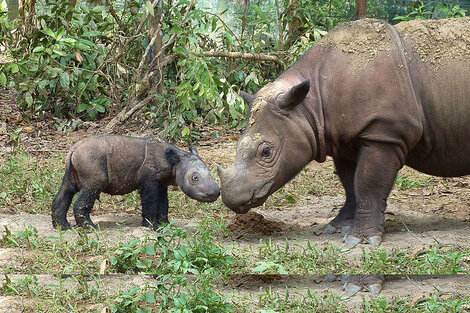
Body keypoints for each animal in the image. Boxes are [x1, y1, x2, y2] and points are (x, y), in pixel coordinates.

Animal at [52, 135, 219, 229]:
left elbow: (163, 203)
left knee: (66, 190)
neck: (175, 162)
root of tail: (74, 148)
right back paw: (90, 228)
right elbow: (151, 202)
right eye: (195, 178)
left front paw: (165, 224)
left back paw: (62, 227)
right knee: (91, 189)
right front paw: (153, 227)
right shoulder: (149, 181)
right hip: (90, 160)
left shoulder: (161, 183)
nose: (215, 192)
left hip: (76, 163)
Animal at [218, 17, 470, 246]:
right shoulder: (343, 138)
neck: (309, 105)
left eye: (266, 152)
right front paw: (337, 227)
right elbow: (350, 184)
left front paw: (361, 240)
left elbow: (368, 183)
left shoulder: (384, 133)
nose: (231, 199)